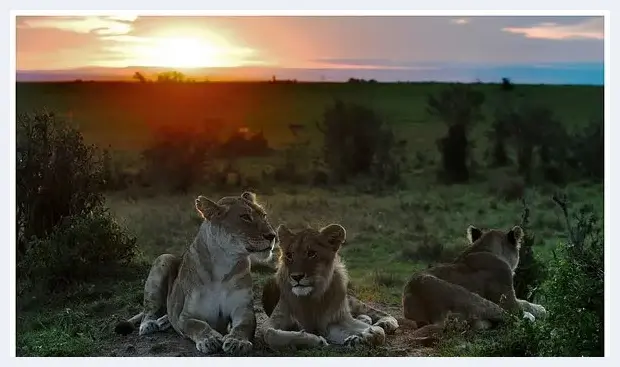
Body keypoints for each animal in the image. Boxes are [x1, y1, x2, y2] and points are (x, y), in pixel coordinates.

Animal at [114, 193, 278, 356]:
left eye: (263, 215)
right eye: (245, 217)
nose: (273, 235)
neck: (224, 264)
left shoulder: (243, 310)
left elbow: (244, 326)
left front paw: (237, 341)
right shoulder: (186, 316)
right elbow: (197, 325)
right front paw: (209, 339)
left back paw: (164, 321)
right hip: (164, 259)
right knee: (149, 308)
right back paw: (149, 325)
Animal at [262, 224, 398, 350]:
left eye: (311, 253)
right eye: (289, 255)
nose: (296, 277)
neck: (309, 298)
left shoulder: (334, 320)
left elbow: (379, 332)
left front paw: (359, 338)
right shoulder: (273, 321)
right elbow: (269, 334)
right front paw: (317, 340)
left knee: (374, 312)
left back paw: (385, 323)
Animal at [400, 226, 544, 340]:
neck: (485, 249)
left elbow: (525, 302)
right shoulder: (509, 301)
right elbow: (525, 304)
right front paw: (541, 309)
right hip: (471, 298)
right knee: (509, 317)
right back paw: (528, 318)